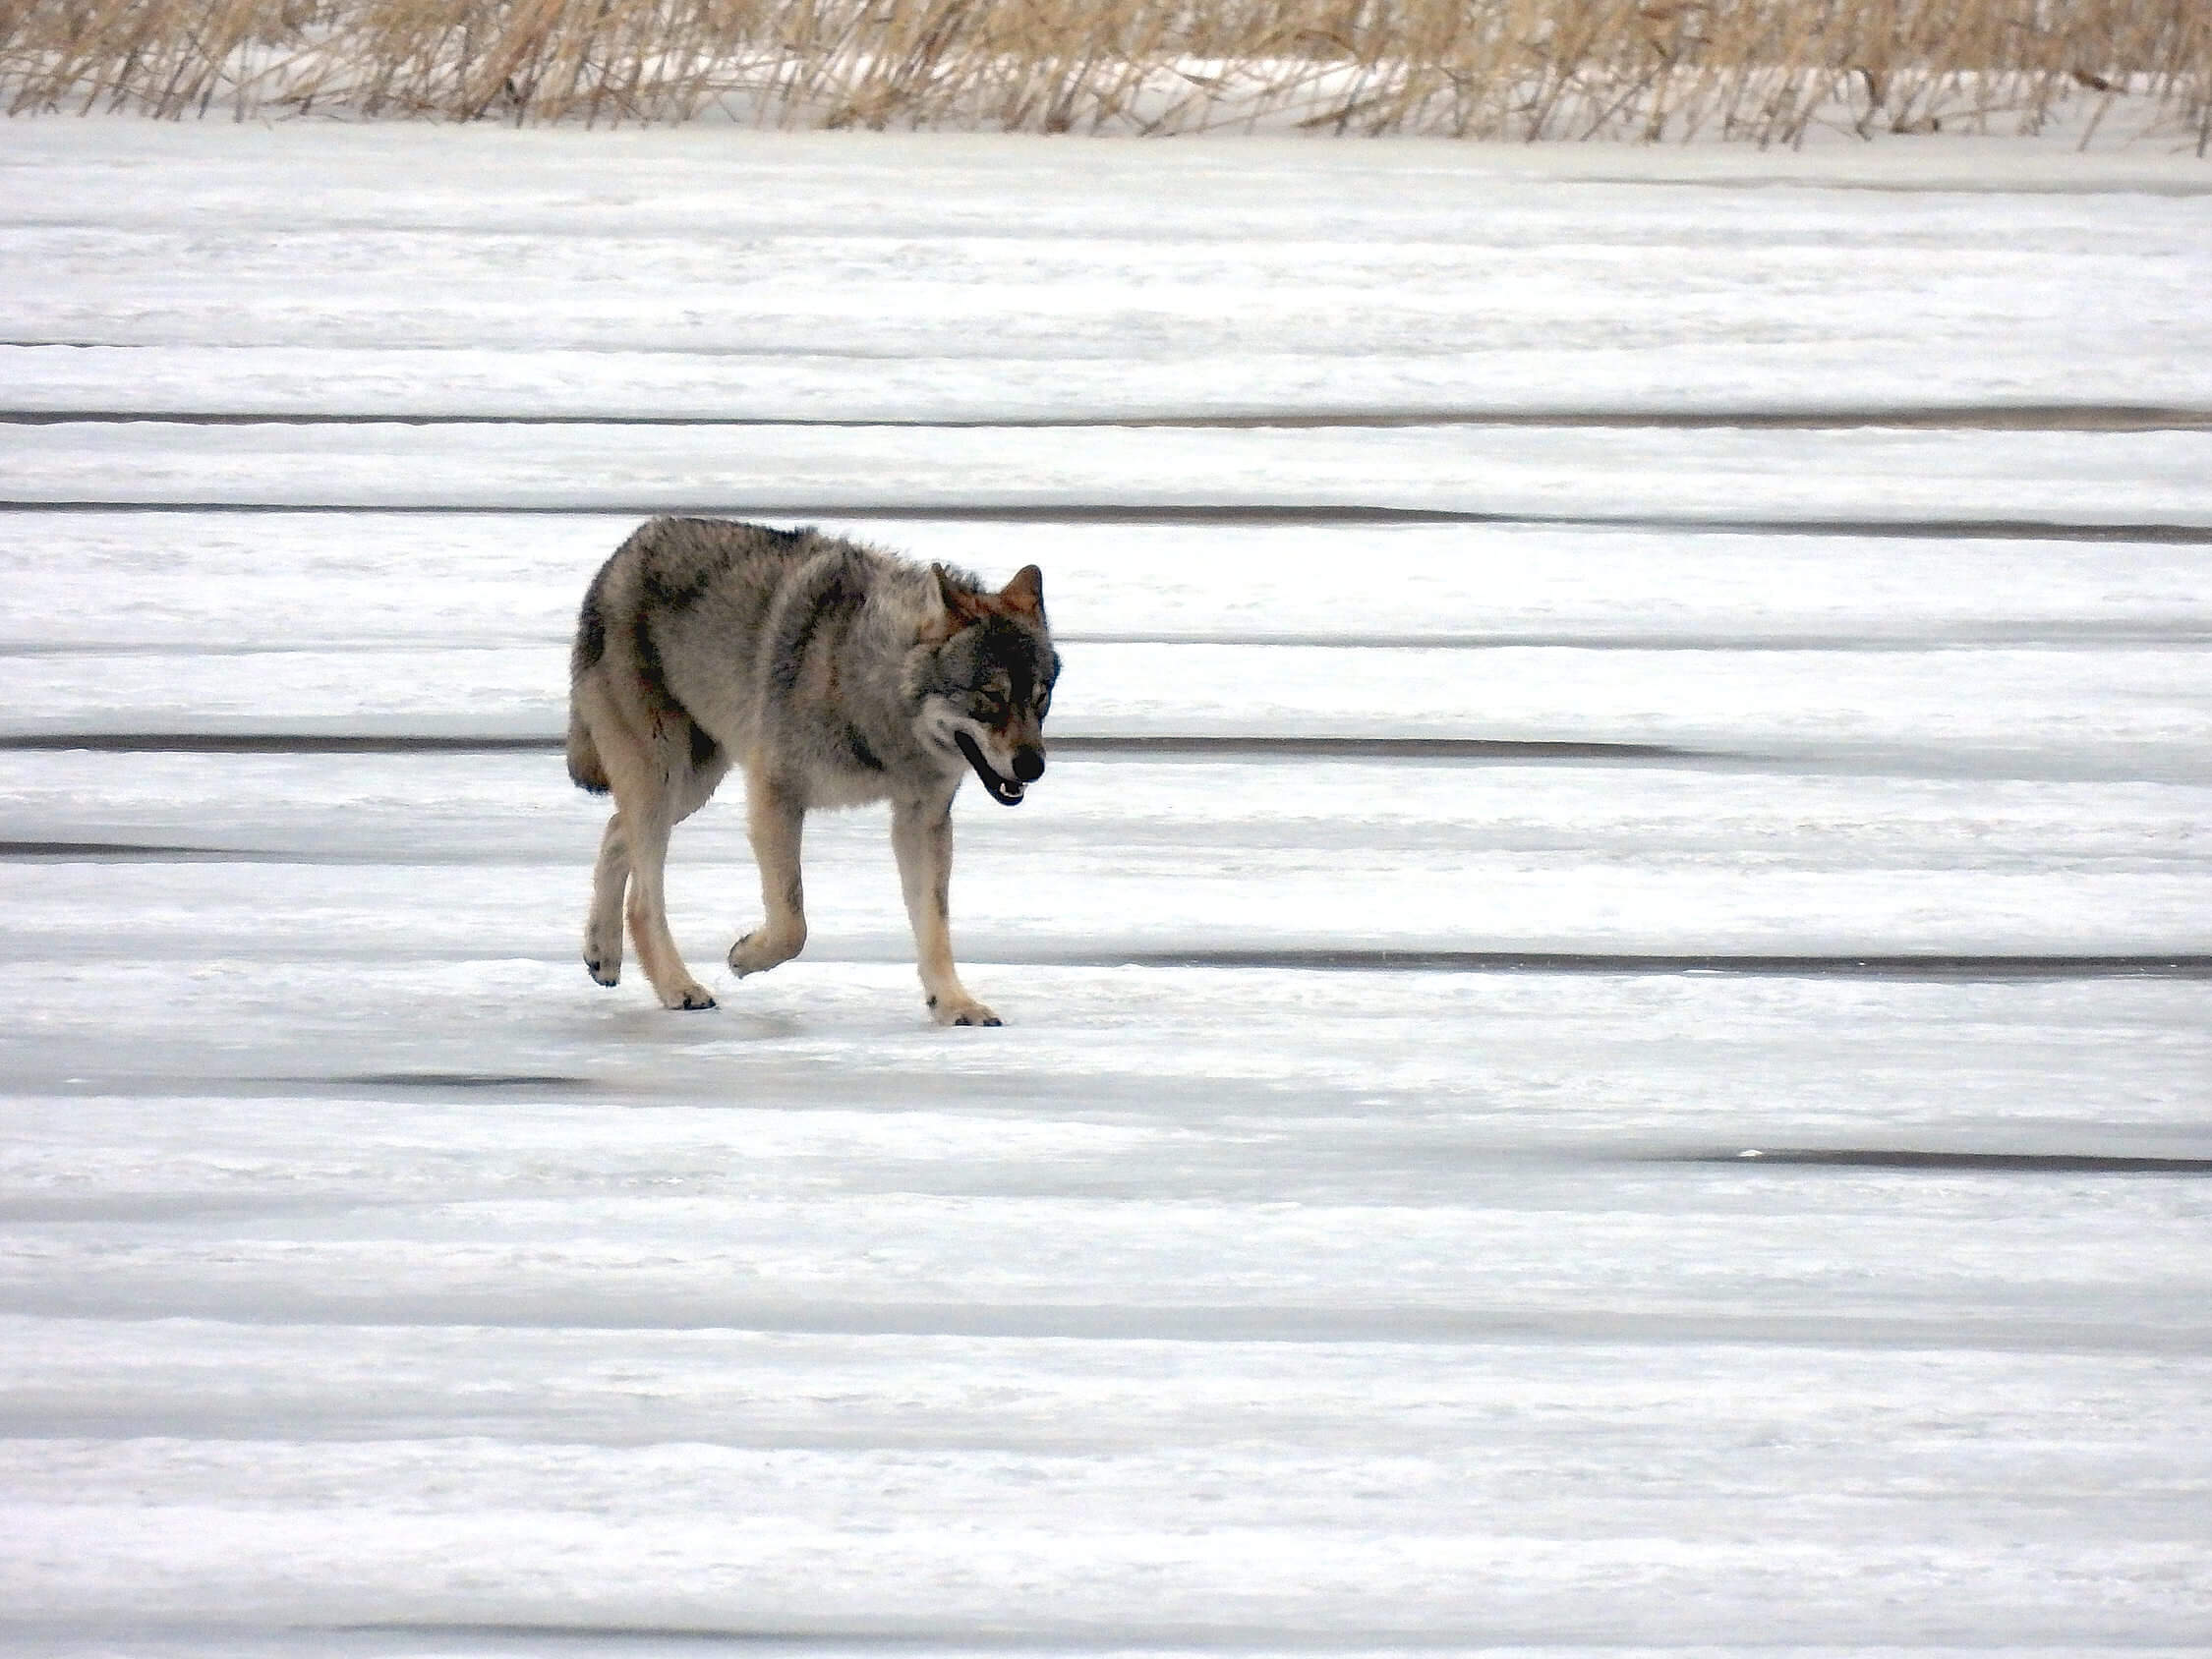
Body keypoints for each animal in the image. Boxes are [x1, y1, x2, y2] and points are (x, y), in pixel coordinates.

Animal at [566, 513, 1057, 1026]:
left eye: (1040, 697)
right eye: (991, 697)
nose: (1033, 766)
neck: (867, 686)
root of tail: (628, 545)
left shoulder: (922, 820)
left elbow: (935, 928)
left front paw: (955, 1005)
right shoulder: (774, 795)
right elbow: (792, 924)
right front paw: (744, 957)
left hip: (691, 785)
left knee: (616, 830)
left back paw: (603, 956)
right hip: (663, 779)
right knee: (643, 899)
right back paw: (679, 987)